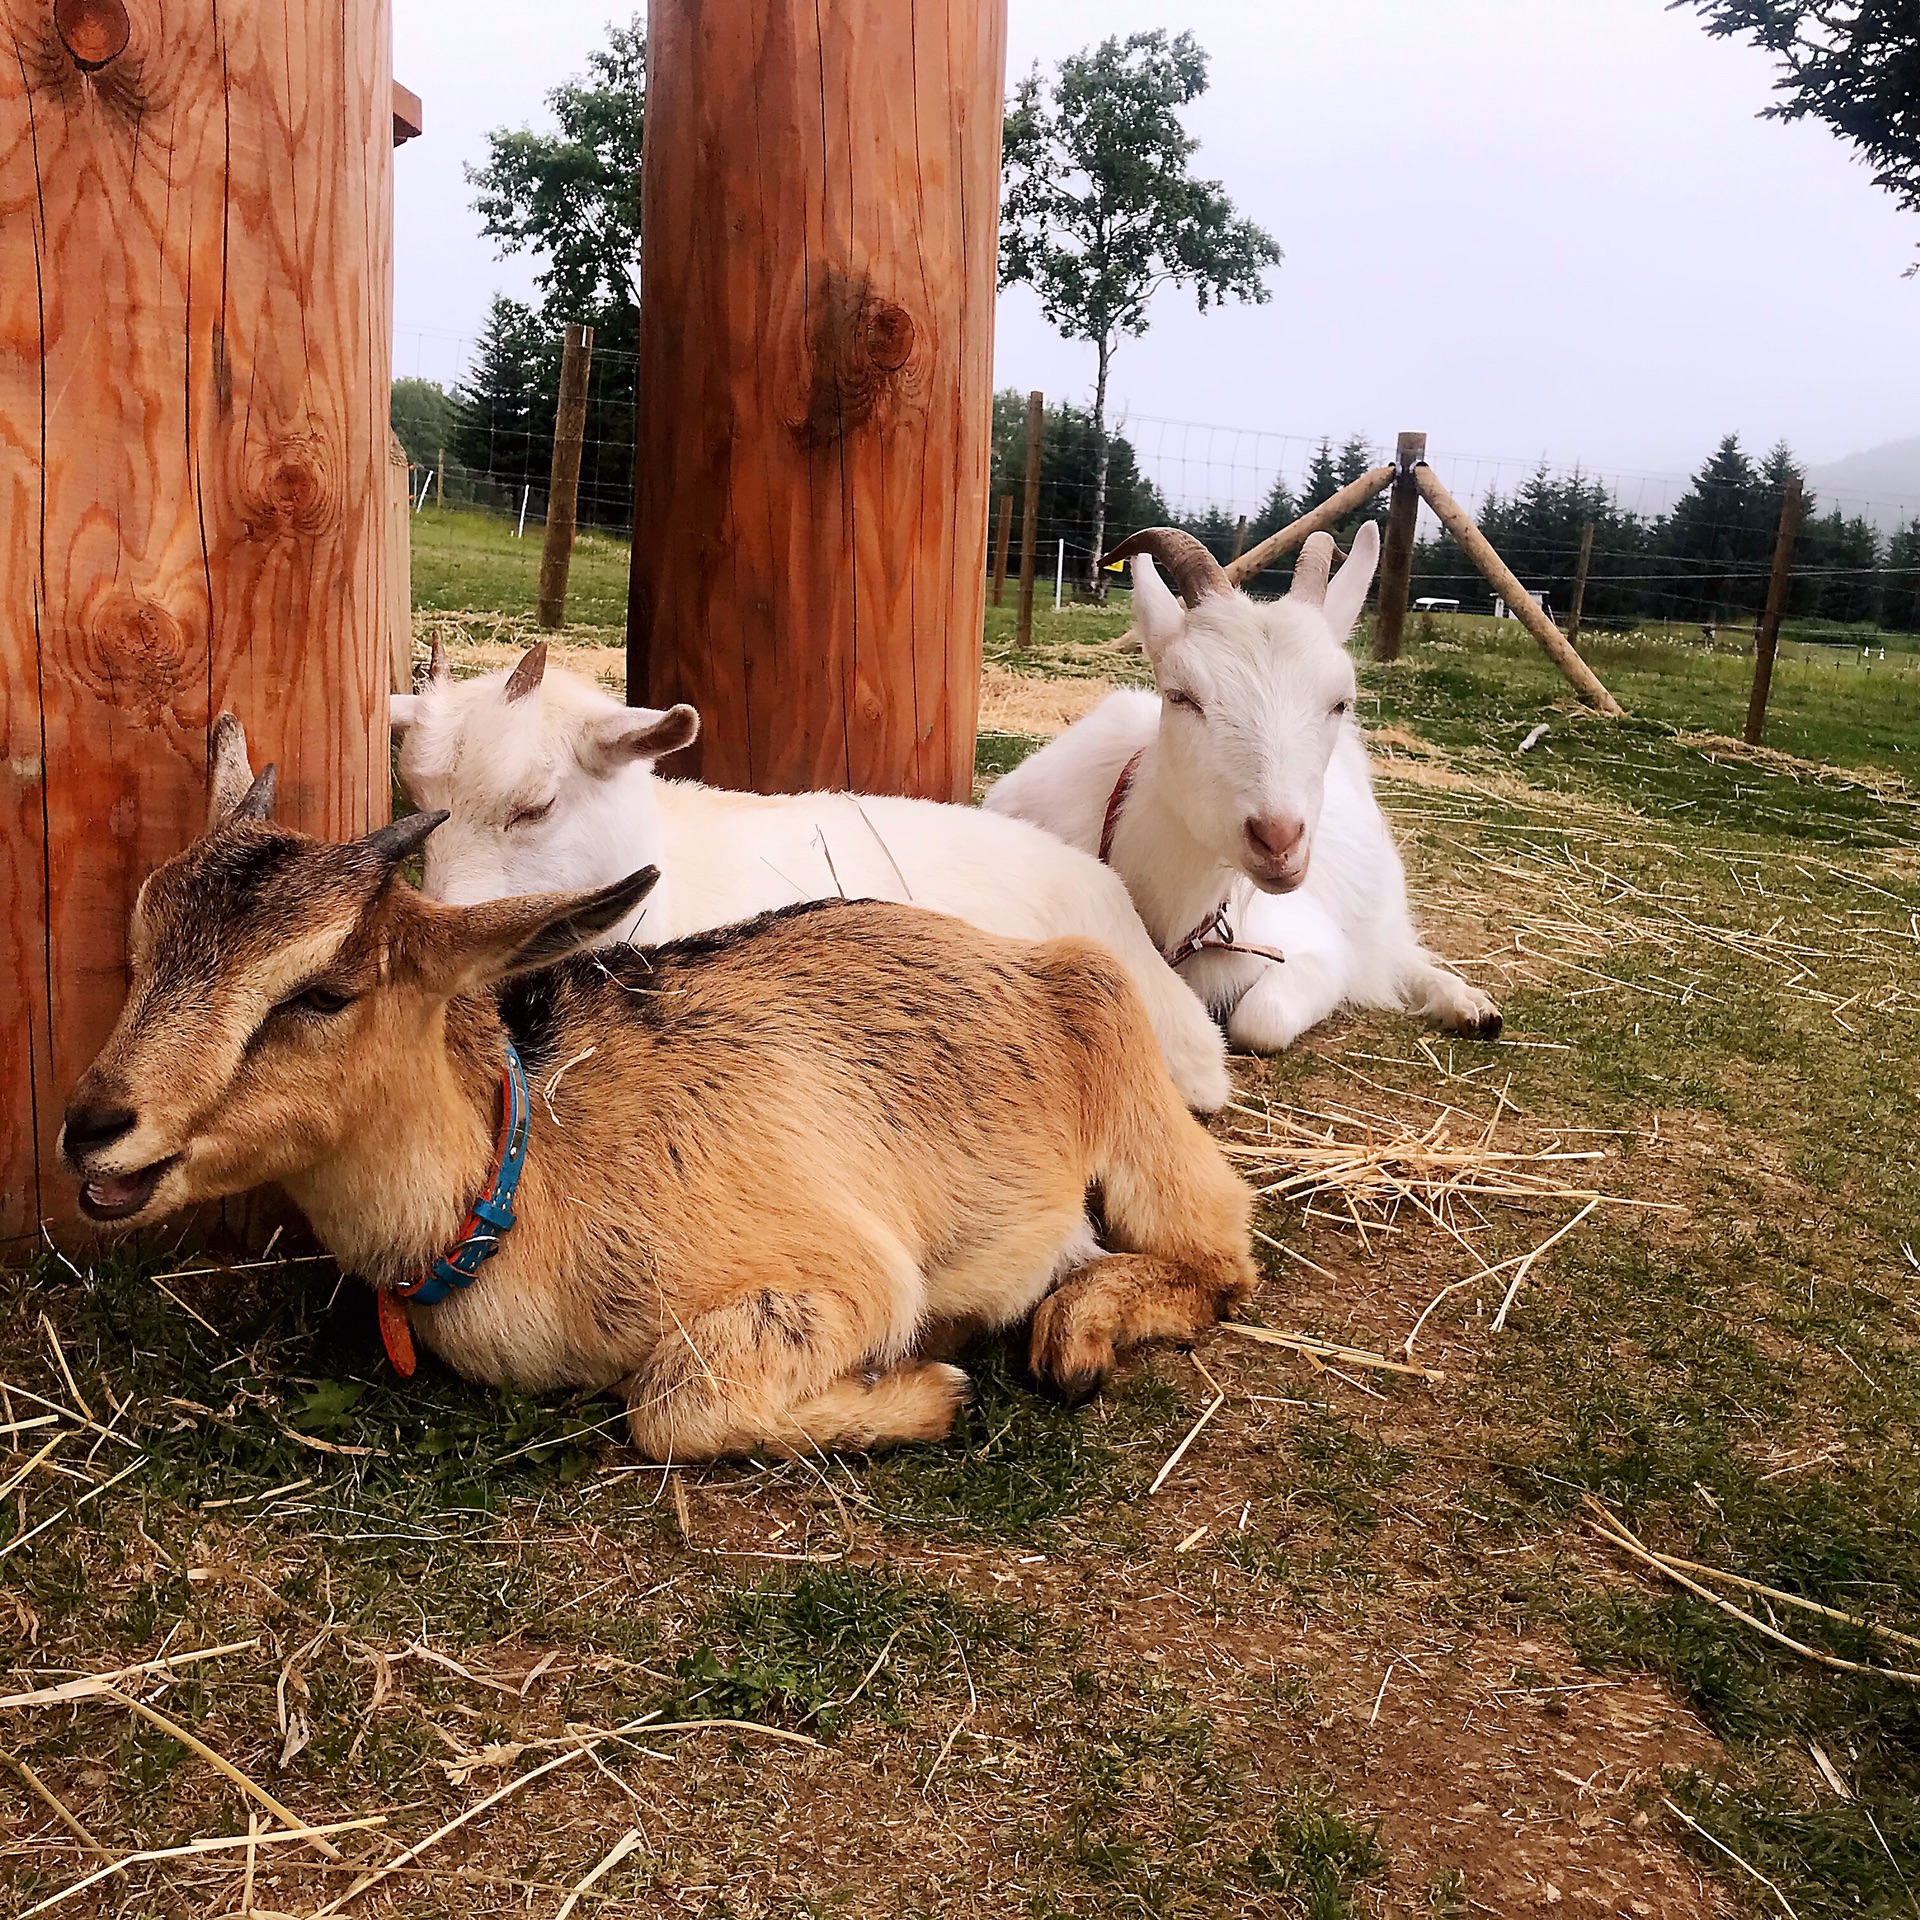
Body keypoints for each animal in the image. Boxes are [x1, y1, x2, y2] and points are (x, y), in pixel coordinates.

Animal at [60, 718, 1251, 1451]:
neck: (520, 1176)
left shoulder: (848, 1273)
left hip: (1135, 1096)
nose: (92, 1124)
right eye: (141, 943)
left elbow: (672, 1410)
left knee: (1221, 1253)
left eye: (323, 991)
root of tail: (1029, 958)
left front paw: (930, 1385)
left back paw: (1077, 1332)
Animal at [990, 526, 1497, 1052]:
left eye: (1340, 702)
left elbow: (1260, 1020)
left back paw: (1468, 1003)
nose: (1279, 842)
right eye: (1181, 696)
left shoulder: (1315, 949)